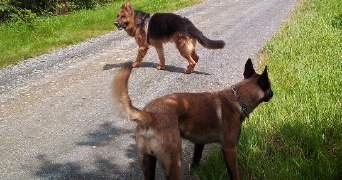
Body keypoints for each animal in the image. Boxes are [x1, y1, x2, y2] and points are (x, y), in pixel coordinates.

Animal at [113, 58, 274, 179]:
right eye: (270, 86)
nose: (273, 93)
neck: (237, 98)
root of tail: (150, 115)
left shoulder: (199, 143)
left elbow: (196, 158)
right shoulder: (230, 148)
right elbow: (234, 173)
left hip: (148, 163)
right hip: (174, 163)